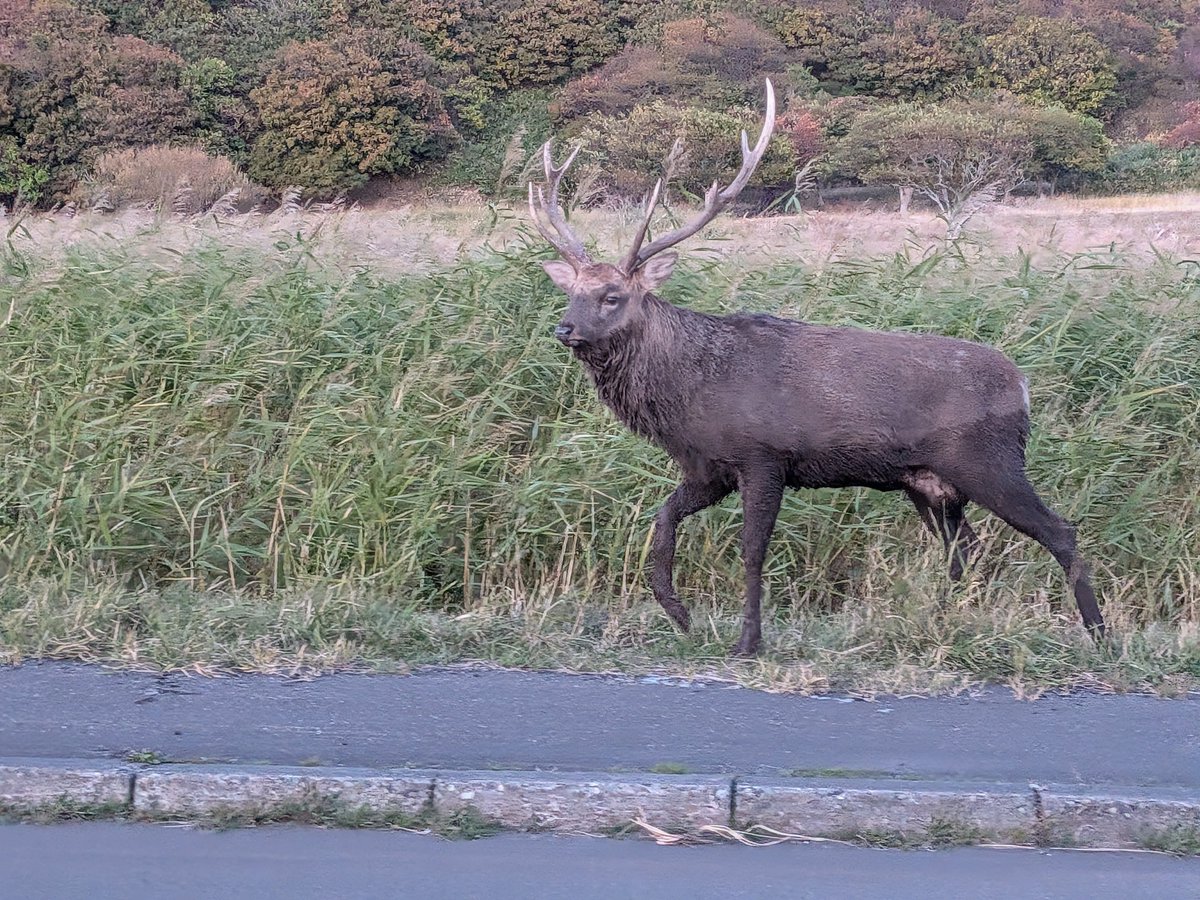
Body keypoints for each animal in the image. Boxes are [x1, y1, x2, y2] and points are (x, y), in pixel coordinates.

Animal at [527, 80, 1105, 657]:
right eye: (571, 291)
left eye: (612, 296)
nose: (564, 329)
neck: (690, 396)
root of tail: (1023, 386)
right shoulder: (709, 469)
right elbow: (662, 519)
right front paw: (678, 612)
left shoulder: (764, 456)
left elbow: (752, 549)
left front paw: (748, 641)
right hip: (930, 484)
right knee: (966, 549)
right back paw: (946, 620)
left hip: (989, 461)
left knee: (1061, 532)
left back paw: (1099, 635)